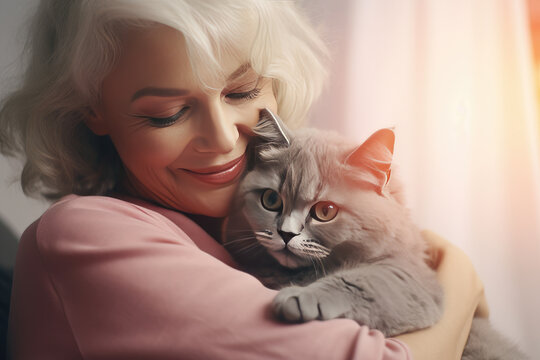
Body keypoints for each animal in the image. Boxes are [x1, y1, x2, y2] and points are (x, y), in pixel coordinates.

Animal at [221, 108, 528, 358]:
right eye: (271, 200)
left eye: (325, 212)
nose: (285, 234)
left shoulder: (410, 276)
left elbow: (359, 281)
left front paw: (299, 297)